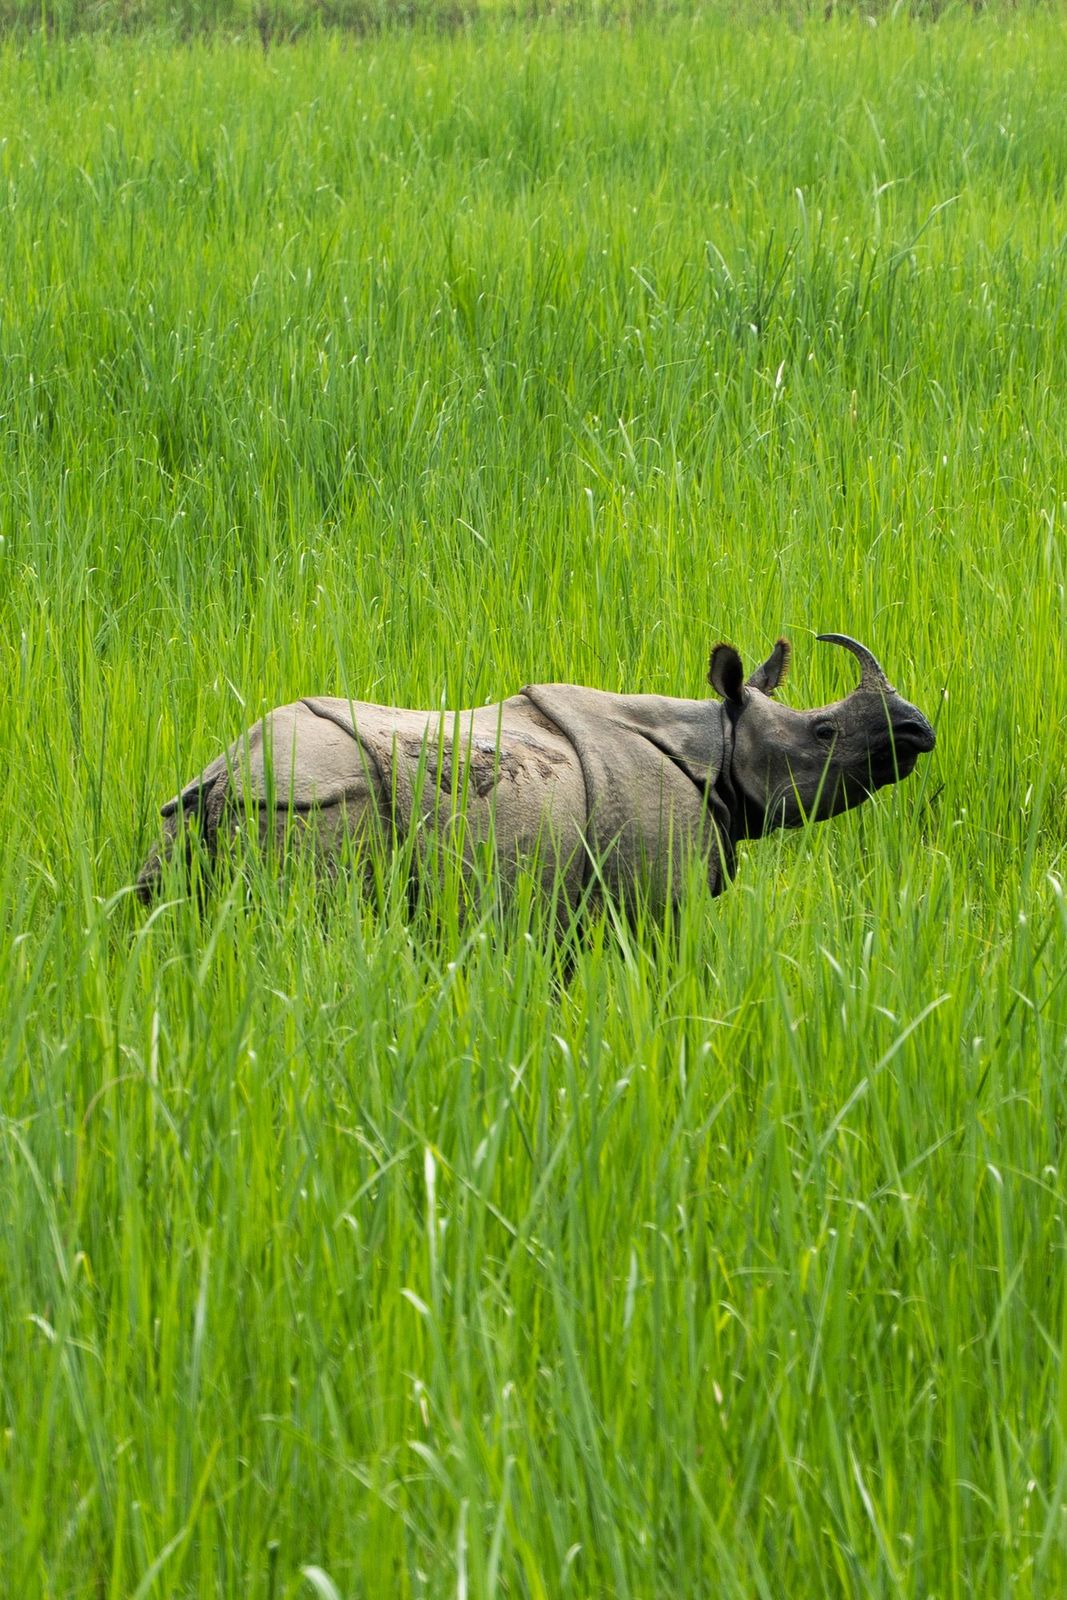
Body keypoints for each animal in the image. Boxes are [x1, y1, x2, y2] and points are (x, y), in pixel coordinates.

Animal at [135, 634, 935, 911]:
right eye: (823, 733)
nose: (918, 730)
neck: (714, 739)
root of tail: (228, 776)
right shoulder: (650, 900)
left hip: (192, 815)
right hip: (311, 811)